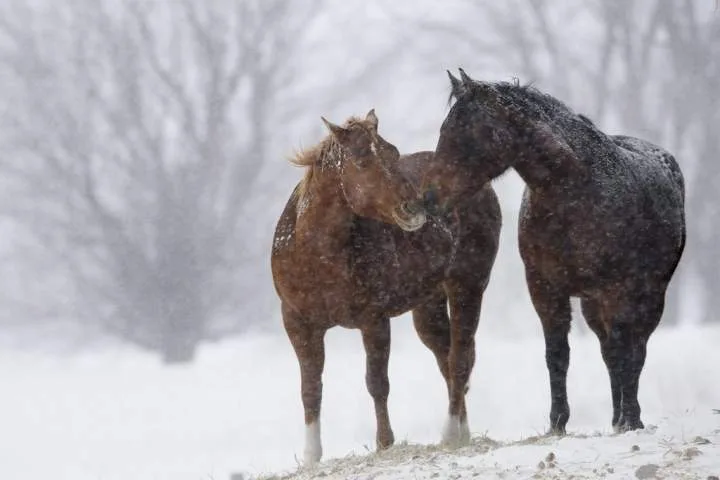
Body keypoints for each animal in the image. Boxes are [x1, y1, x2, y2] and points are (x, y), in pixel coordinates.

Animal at [271, 109, 501, 465]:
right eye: (363, 161)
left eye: (393, 153)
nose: (416, 208)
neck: (317, 254)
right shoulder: (298, 323)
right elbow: (310, 388)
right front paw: (311, 455)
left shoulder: (373, 320)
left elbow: (377, 382)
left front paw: (385, 443)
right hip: (429, 306)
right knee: (445, 357)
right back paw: (461, 431)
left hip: (468, 286)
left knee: (459, 358)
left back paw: (451, 434)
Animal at [421, 70, 686, 435]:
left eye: (469, 132)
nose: (429, 198)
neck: (576, 191)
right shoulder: (545, 288)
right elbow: (557, 354)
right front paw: (557, 423)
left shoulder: (617, 288)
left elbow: (626, 353)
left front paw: (630, 420)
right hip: (593, 303)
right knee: (609, 351)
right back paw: (616, 416)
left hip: (648, 296)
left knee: (636, 349)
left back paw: (628, 417)